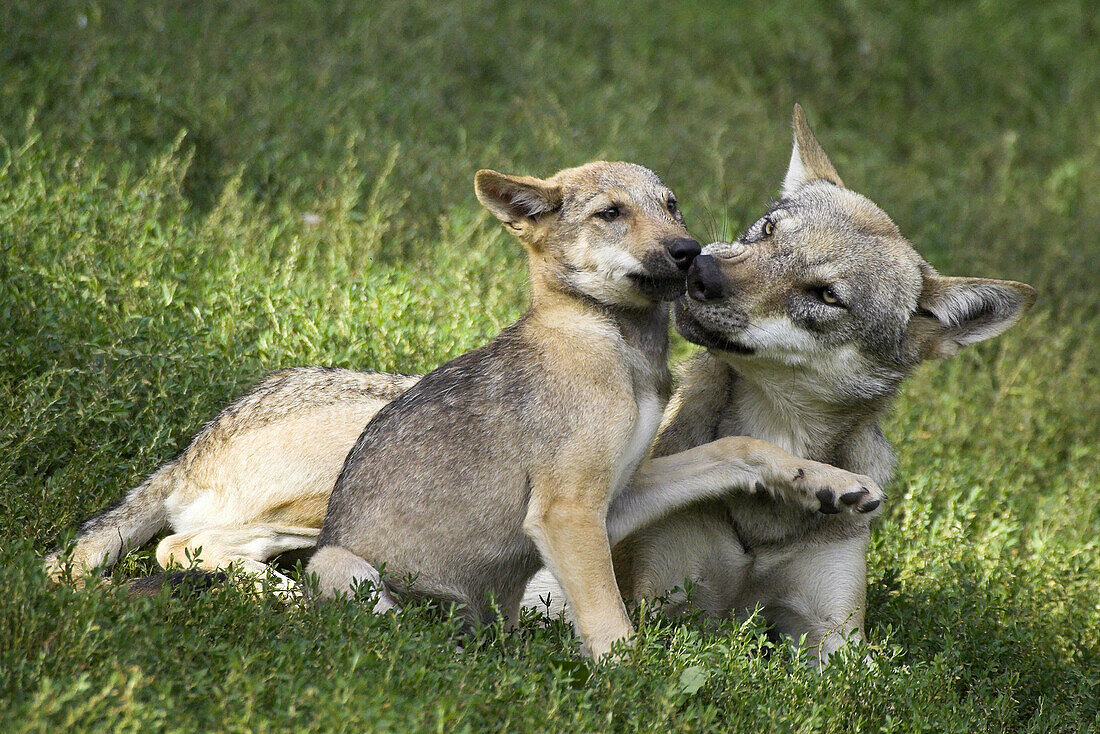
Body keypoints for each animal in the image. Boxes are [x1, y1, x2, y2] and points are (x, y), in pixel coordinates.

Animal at [47, 159, 880, 660]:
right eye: (610, 214)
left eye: (670, 205)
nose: (690, 254)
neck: (615, 348)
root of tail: (194, 444)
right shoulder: (565, 515)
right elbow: (611, 626)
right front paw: (635, 685)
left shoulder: (615, 500)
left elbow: (734, 453)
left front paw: (824, 483)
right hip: (333, 544)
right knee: (207, 557)